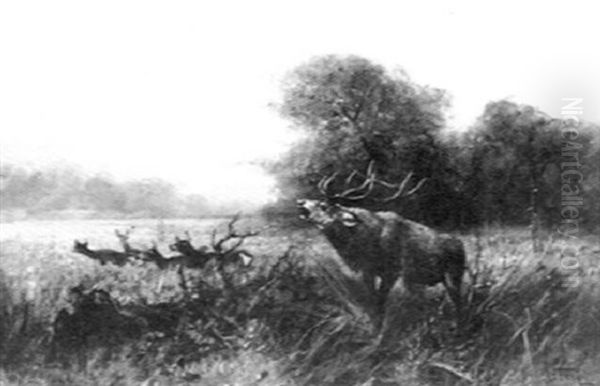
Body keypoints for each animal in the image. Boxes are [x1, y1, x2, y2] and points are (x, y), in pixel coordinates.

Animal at [298, 161, 466, 328]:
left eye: (323, 206)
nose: (300, 201)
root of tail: (461, 246)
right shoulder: (368, 271)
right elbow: (373, 302)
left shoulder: (391, 272)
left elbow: (379, 303)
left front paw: (379, 330)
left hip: (453, 275)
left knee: (459, 304)